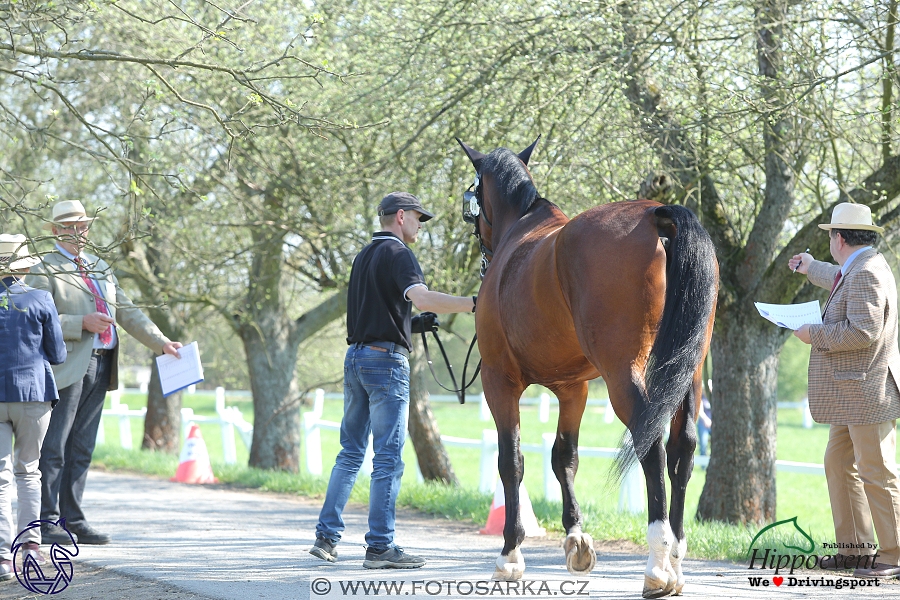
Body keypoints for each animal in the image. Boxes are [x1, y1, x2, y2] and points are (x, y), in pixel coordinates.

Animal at [458, 138, 716, 596]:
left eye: (473, 197)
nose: (482, 251)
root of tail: (656, 214)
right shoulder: (572, 388)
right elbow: (564, 457)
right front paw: (576, 538)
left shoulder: (498, 380)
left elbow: (512, 461)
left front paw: (510, 554)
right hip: (690, 371)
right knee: (682, 448)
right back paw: (676, 557)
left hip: (622, 374)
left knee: (650, 444)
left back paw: (657, 562)